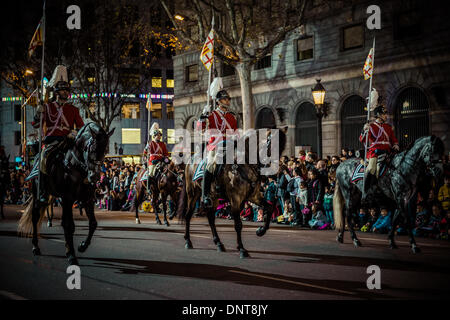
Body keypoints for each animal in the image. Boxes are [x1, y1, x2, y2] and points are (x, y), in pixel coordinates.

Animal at [18, 122, 114, 264]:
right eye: (92, 149)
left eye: (105, 150)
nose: (95, 176)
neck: (77, 166)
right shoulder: (68, 198)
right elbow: (69, 225)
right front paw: (71, 254)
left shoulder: (87, 199)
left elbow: (93, 223)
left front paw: (82, 246)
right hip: (37, 193)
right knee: (35, 216)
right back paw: (35, 246)